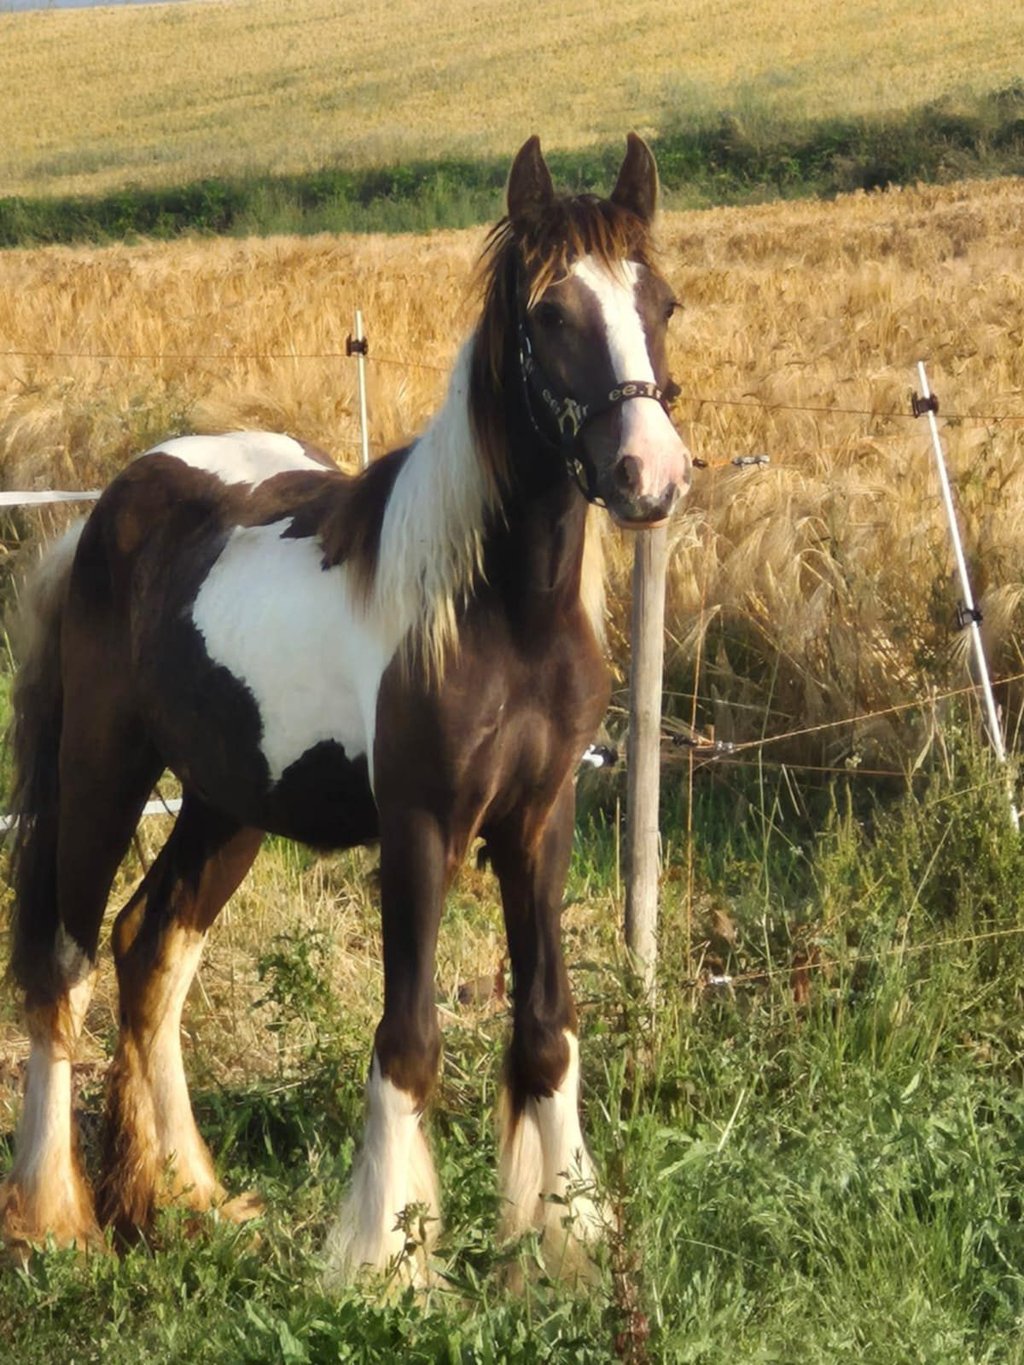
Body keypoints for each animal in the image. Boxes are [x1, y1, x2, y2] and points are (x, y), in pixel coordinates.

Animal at [0, 134, 690, 1284]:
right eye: (550, 313)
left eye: (661, 301)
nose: (651, 473)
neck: (496, 609)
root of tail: (105, 514)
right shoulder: (420, 828)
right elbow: (407, 1039)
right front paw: (383, 1260)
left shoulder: (539, 821)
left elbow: (548, 1025)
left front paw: (563, 1240)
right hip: (102, 772)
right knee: (67, 967)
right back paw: (59, 1221)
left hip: (226, 803)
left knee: (152, 950)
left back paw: (185, 1199)